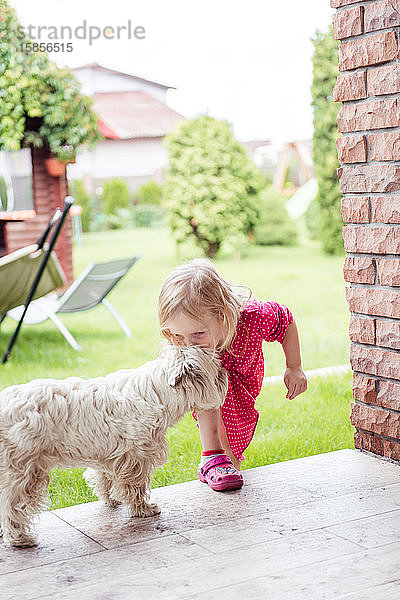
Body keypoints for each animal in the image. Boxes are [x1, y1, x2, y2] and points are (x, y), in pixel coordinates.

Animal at [0, 344, 228, 548]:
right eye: (217, 371)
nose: (226, 372)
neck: (157, 393)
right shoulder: (136, 456)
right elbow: (135, 486)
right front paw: (143, 509)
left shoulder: (108, 454)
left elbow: (104, 478)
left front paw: (110, 500)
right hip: (25, 470)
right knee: (12, 505)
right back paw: (20, 539)